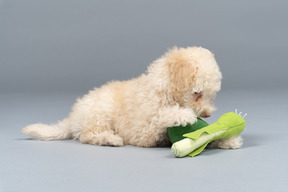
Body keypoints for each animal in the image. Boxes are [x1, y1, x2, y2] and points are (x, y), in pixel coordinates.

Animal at [22, 46, 243, 148]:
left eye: (212, 95)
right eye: (197, 93)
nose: (207, 114)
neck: (163, 90)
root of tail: (72, 118)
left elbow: (206, 135)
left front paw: (227, 140)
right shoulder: (144, 133)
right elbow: (159, 117)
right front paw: (182, 116)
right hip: (99, 112)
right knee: (87, 135)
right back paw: (110, 139)